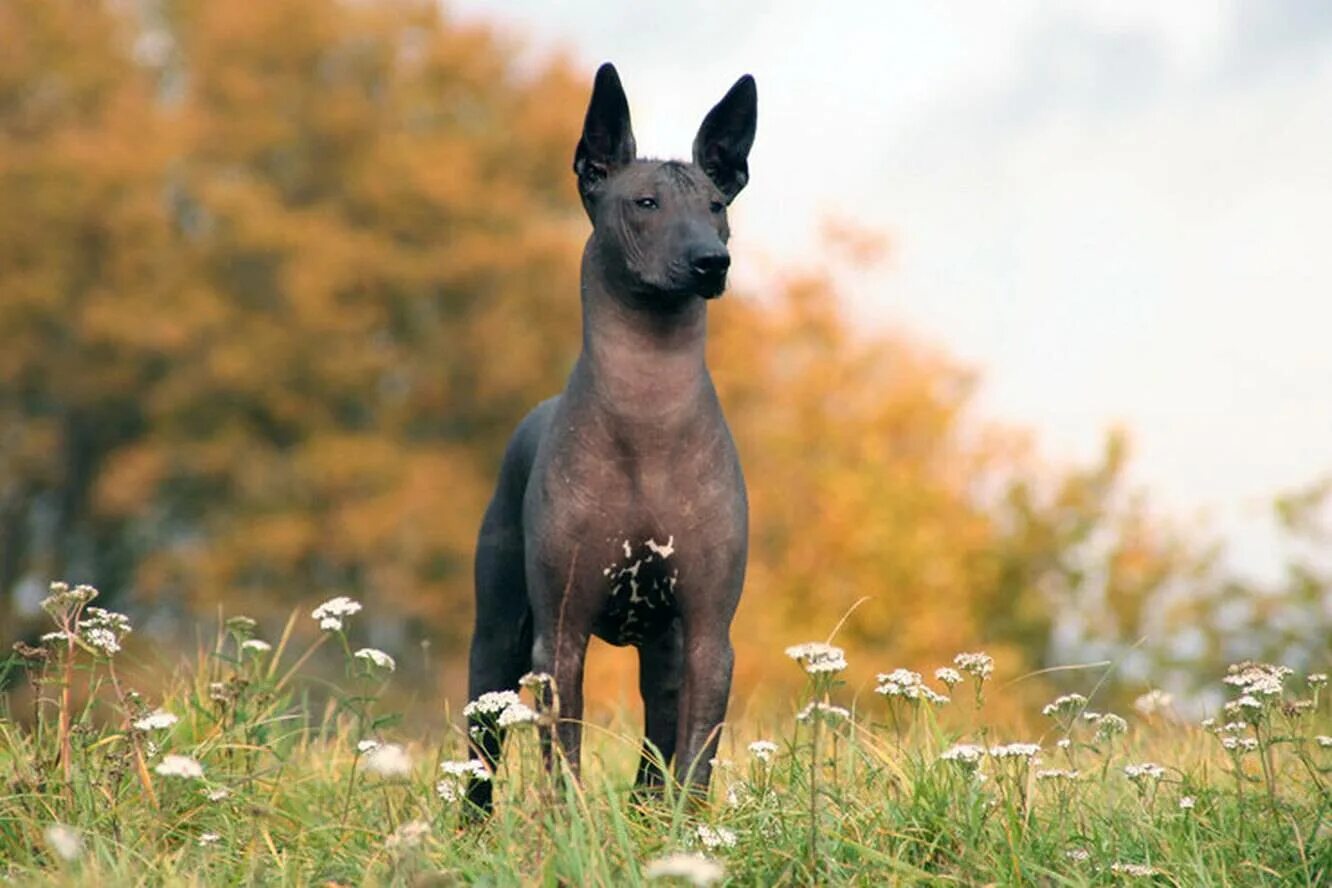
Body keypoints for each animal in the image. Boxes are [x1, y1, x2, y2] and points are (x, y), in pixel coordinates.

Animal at [468, 62, 761, 814]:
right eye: (645, 203)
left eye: (716, 205)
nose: (711, 261)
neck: (646, 416)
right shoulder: (560, 637)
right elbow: (561, 758)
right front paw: (566, 827)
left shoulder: (709, 637)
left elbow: (695, 762)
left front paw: (689, 830)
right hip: (494, 644)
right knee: (479, 750)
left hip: (664, 653)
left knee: (658, 747)